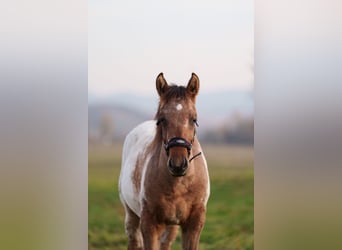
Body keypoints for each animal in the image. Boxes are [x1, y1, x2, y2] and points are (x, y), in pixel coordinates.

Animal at [119, 73, 210, 250]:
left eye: (193, 119)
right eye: (162, 119)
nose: (178, 164)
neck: (179, 185)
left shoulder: (194, 224)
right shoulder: (150, 224)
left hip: (171, 227)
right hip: (131, 215)